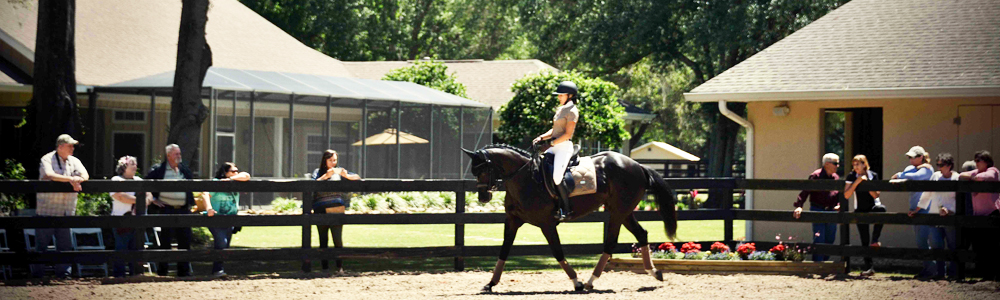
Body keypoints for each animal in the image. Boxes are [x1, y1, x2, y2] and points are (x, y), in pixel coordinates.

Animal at [464, 144, 676, 292]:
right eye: (475, 172)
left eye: (483, 170)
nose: (483, 197)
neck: (525, 178)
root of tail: (637, 165)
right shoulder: (513, 221)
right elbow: (504, 250)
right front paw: (491, 283)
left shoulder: (547, 224)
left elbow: (557, 251)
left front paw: (576, 282)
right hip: (623, 212)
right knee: (641, 234)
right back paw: (654, 272)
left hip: (618, 212)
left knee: (611, 242)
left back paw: (590, 281)